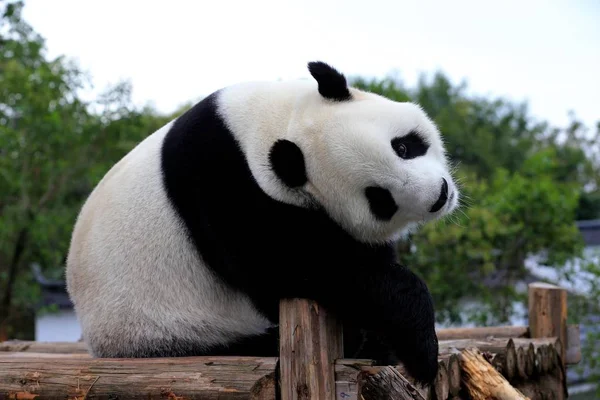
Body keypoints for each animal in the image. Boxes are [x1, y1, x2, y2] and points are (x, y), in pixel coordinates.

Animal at [65, 61, 460, 384]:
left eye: (403, 147)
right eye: (379, 199)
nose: (439, 195)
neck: (278, 131)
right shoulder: (227, 189)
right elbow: (296, 266)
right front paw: (419, 350)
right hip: (167, 328)